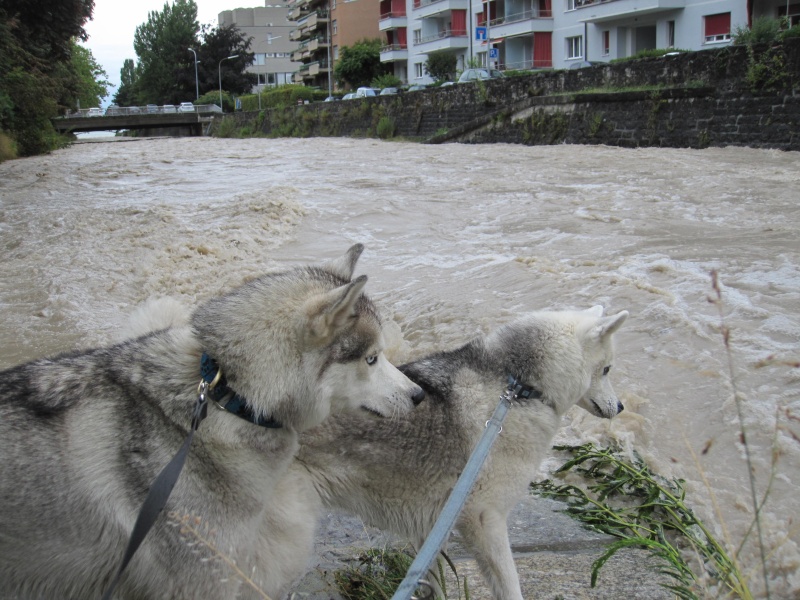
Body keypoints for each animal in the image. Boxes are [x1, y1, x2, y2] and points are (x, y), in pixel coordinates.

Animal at [296, 308, 628, 596]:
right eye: (607, 369)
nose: (622, 407)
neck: (517, 387)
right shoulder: (485, 520)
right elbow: (510, 587)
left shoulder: (430, 528)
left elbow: (432, 583)